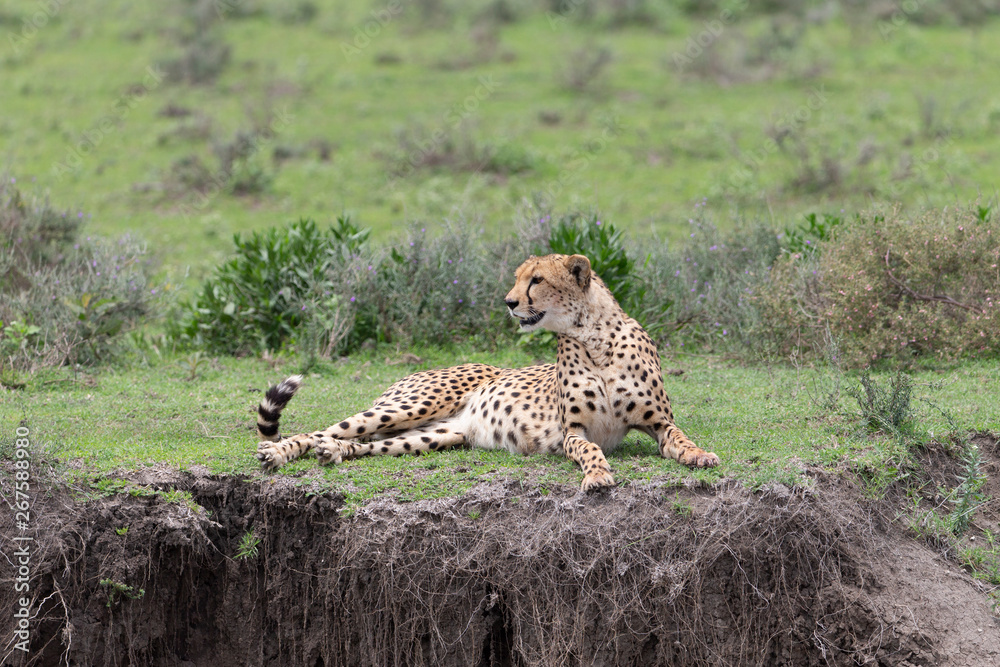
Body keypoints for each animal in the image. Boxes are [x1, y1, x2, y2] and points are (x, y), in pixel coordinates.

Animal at [254, 253, 719, 491]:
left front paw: (699, 455)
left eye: (536, 280)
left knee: (359, 443)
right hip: (411, 406)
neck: (593, 339)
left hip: (434, 435)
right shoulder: (574, 431)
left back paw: (335, 453)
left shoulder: (658, 422)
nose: (509, 302)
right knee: (317, 430)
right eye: (517, 279)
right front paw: (599, 474)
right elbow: (589, 449)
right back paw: (278, 453)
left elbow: (680, 438)